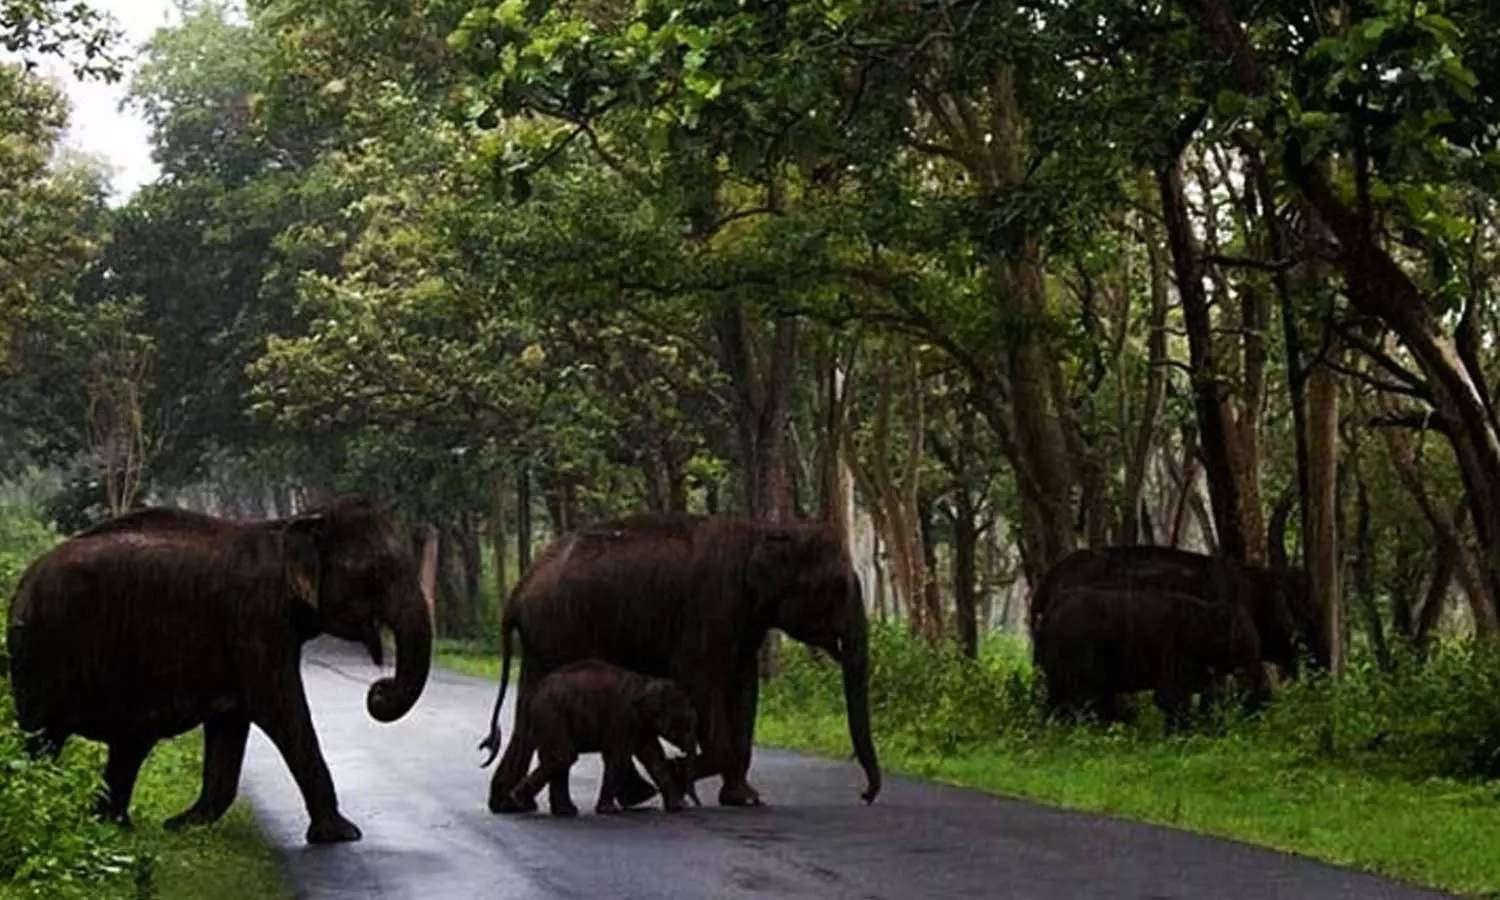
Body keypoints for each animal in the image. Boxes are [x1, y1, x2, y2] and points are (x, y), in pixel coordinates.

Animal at [5, 499, 433, 844]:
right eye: (375, 575)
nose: (378, 690)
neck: (294, 524)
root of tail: (22, 583)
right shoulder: (255, 617)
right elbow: (278, 707)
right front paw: (342, 836)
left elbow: (232, 718)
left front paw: (182, 825)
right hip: (42, 653)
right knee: (46, 737)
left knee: (128, 742)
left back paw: (113, 825)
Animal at [506, 659, 701, 816]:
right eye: (679, 722)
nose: (695, 805)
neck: (646, 682)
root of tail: (535, 693)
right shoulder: (622, 715)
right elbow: (618, 756)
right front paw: (608, 811)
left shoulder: (641, 723)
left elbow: (653, 756)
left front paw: (678, 807)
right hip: (551, 716)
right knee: (563, 757)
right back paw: (519, 801)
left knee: (560, 760)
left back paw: (564, 811)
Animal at [1033, 584, 1271, 729]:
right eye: (1244, 646)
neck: (1208, 611)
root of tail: (1049, 612)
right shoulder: (1176, 648)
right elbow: (1172, 698)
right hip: (1075, 651)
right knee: (1081, 697)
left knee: (1060, 696)